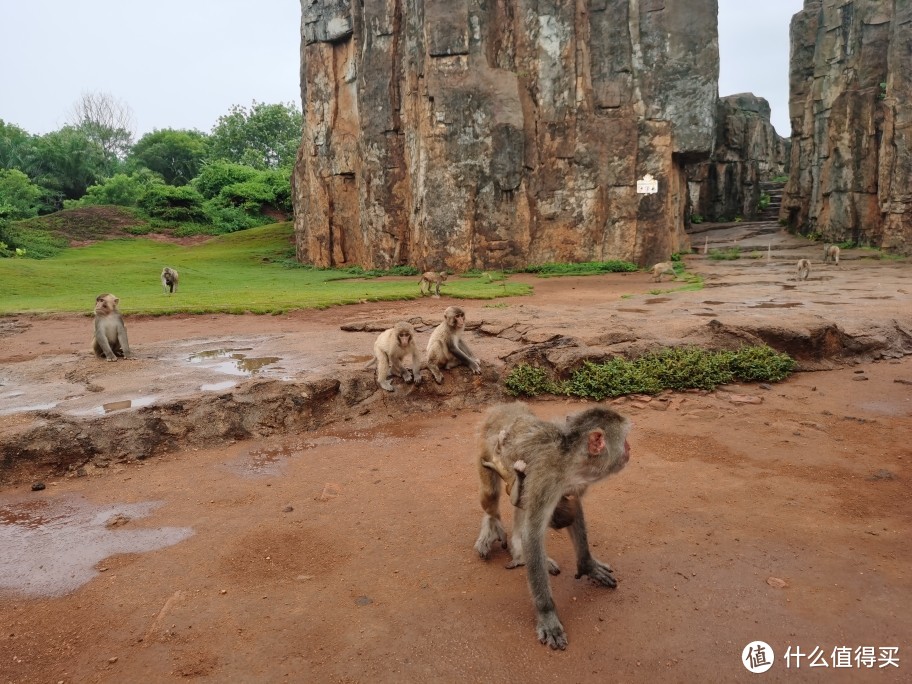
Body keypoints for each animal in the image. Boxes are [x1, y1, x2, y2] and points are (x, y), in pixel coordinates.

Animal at [474, 404, 632, 648]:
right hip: (486, 444)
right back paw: (491, 523)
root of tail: (505, 406)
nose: (629, 449)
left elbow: (573, 507)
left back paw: (518, 548)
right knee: (492, 495)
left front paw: (587, 565)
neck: (571, 460)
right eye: (624, 440)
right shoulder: (547, 478)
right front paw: (547, 614)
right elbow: (533, 535)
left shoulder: (576, 482)